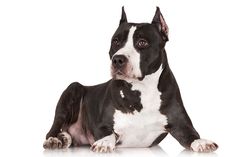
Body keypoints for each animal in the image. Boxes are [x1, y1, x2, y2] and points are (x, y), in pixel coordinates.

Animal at [43, 6, 218, 153]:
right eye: (116, 41)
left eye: (142, 42)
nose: (117, 59)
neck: (142, 89)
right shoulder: (101, 125)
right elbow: (109, 134)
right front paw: (104, 142)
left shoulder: (181, 125)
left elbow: (192, 136)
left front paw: (202, 142)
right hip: (72, 90)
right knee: (54, 127)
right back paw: (55, 139)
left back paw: (65, 138)